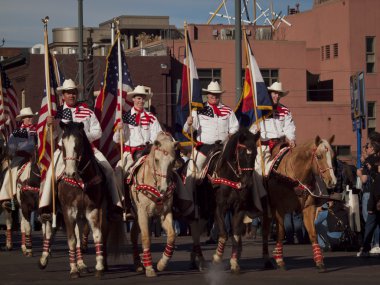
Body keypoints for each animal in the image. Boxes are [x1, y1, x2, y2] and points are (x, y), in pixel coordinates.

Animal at [127, 132, 180, 276]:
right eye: (156, 160)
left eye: (172, 161)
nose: (163, 189)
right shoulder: (143, 213)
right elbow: (146, 238)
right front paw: (149, 267)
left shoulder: (165, 213)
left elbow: (172, 235)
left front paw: (162, 263)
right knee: (134, 236)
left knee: (133, 234)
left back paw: (139, 264)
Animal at [262, 134, 336, 270]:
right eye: (319, 156)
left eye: (332, 156)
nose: (332, 182)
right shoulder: (279, 210)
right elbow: (281, 233)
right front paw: (279, 259)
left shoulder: (308, 208)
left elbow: (312, 233)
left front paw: (319, 261)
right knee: (264, 232)